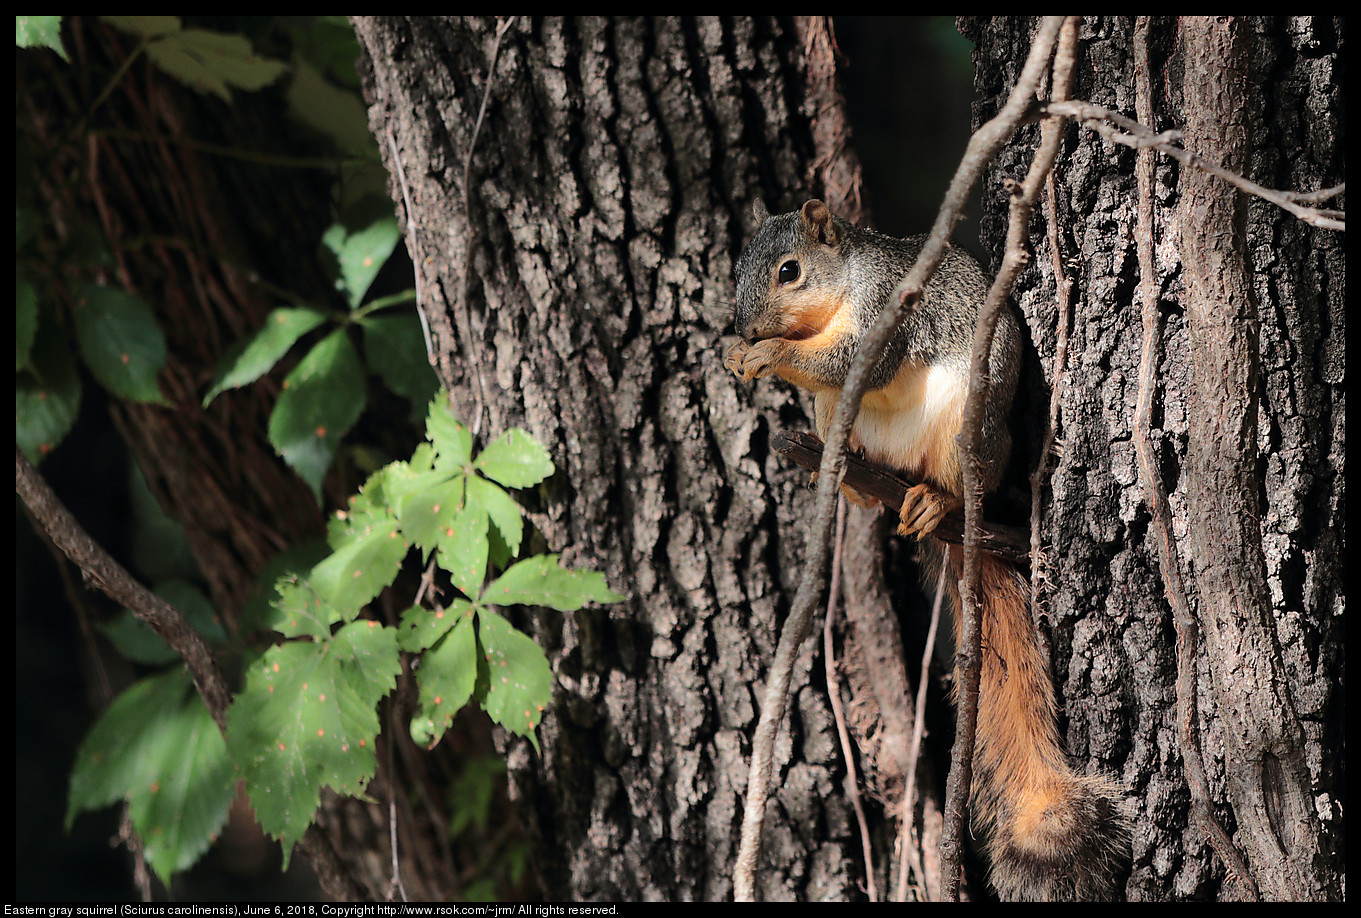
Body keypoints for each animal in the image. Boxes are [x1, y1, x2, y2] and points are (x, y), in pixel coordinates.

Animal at [729, 199, 1132, 903]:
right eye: (739, 265)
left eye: (789, 271)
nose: (745, 326)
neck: (843, 286)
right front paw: (737, 351)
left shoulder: (887, 314)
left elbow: (852, 360)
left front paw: (768, 352)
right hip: (837, 416)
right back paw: (845, 476)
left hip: (966, 429)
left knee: (950, 481)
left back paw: (936, 503)